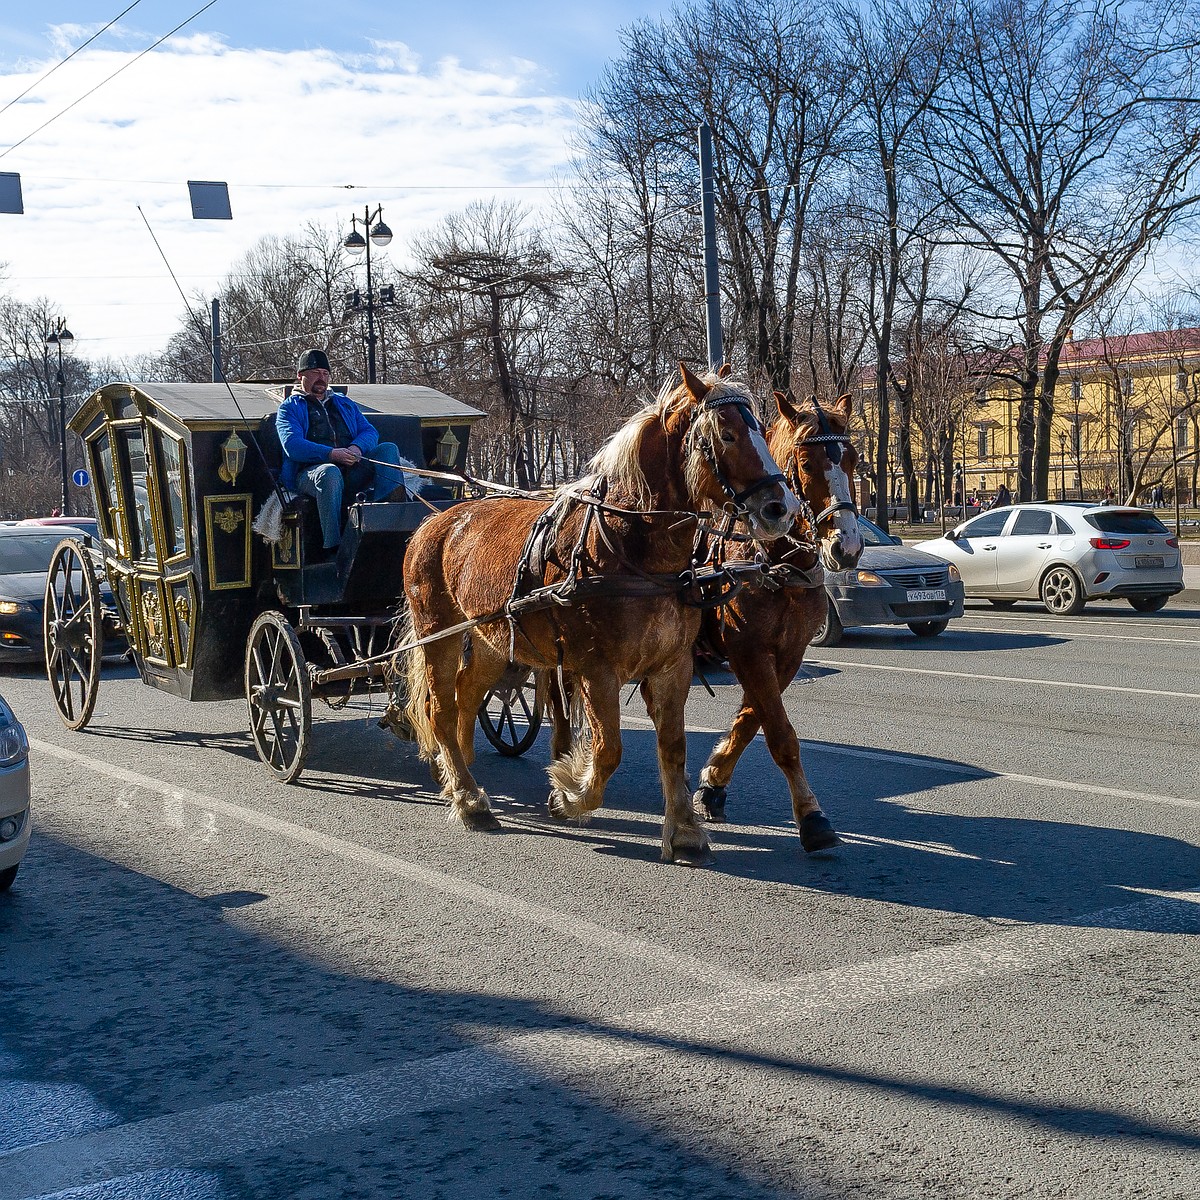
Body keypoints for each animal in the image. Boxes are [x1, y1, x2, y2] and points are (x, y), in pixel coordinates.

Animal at [398, 364, 801, 864]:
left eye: (760, 429)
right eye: (726, 434)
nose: (781, 508)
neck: (632, 549)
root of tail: (434, 522)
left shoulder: (673, 667)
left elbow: (674, 748)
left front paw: (685, 830)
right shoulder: (596, 670)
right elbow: (609, 750)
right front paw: (570, 792)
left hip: (492, 643)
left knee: (466, 698)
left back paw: (460, 777)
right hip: (440, 635)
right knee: (441, 709)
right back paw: (468, 798)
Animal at [691, 393, 868, 854]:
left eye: (852, 459)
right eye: (805, 463)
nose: (847, 546)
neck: (773, 565)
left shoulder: (787, 654)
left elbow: (753, 718)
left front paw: (713, 782)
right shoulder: (747, 650)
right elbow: (780, 733)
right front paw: (811, 816)